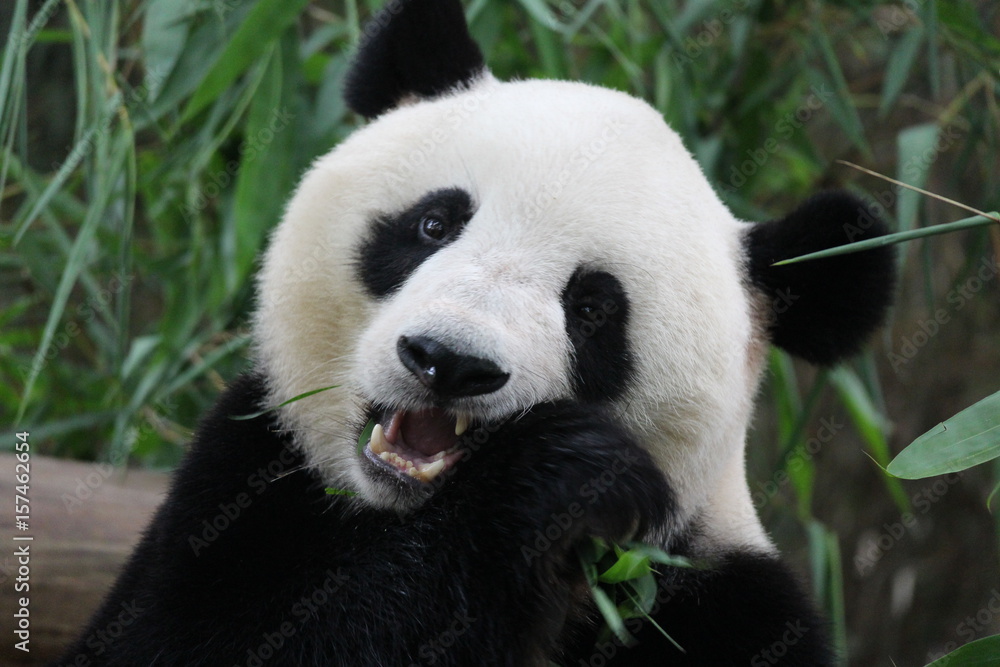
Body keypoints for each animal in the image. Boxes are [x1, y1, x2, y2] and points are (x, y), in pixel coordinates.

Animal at [58, 1, 896, 667]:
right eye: (435, 223)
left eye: (594, 308)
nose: (449, 362)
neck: (408, 516)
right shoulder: (236, 494)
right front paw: (553, 477)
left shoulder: (717, 600)